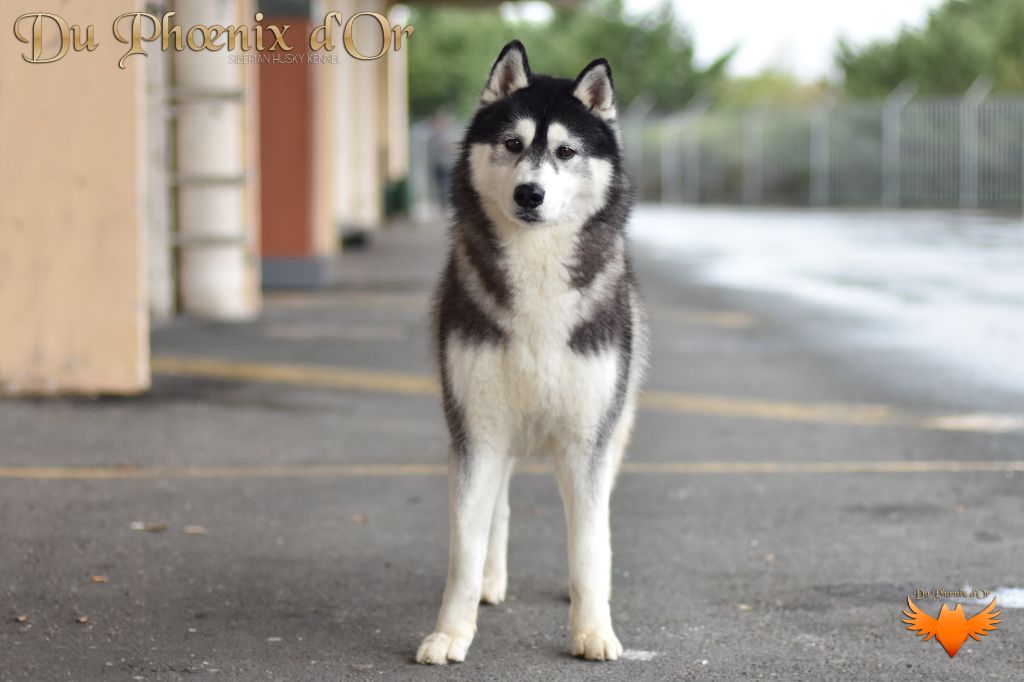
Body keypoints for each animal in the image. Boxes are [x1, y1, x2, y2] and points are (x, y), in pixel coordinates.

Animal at [411, 39, 643, 659]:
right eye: (513, 143)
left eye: (565, 150)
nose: (529, 192)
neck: (537, 273)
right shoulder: (478, 432)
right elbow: (465, 545)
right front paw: (452, 632)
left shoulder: (587, 441)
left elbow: (589, 545)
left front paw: (594, 630)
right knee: (499, 509)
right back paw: (492, 583)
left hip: (615, 428)